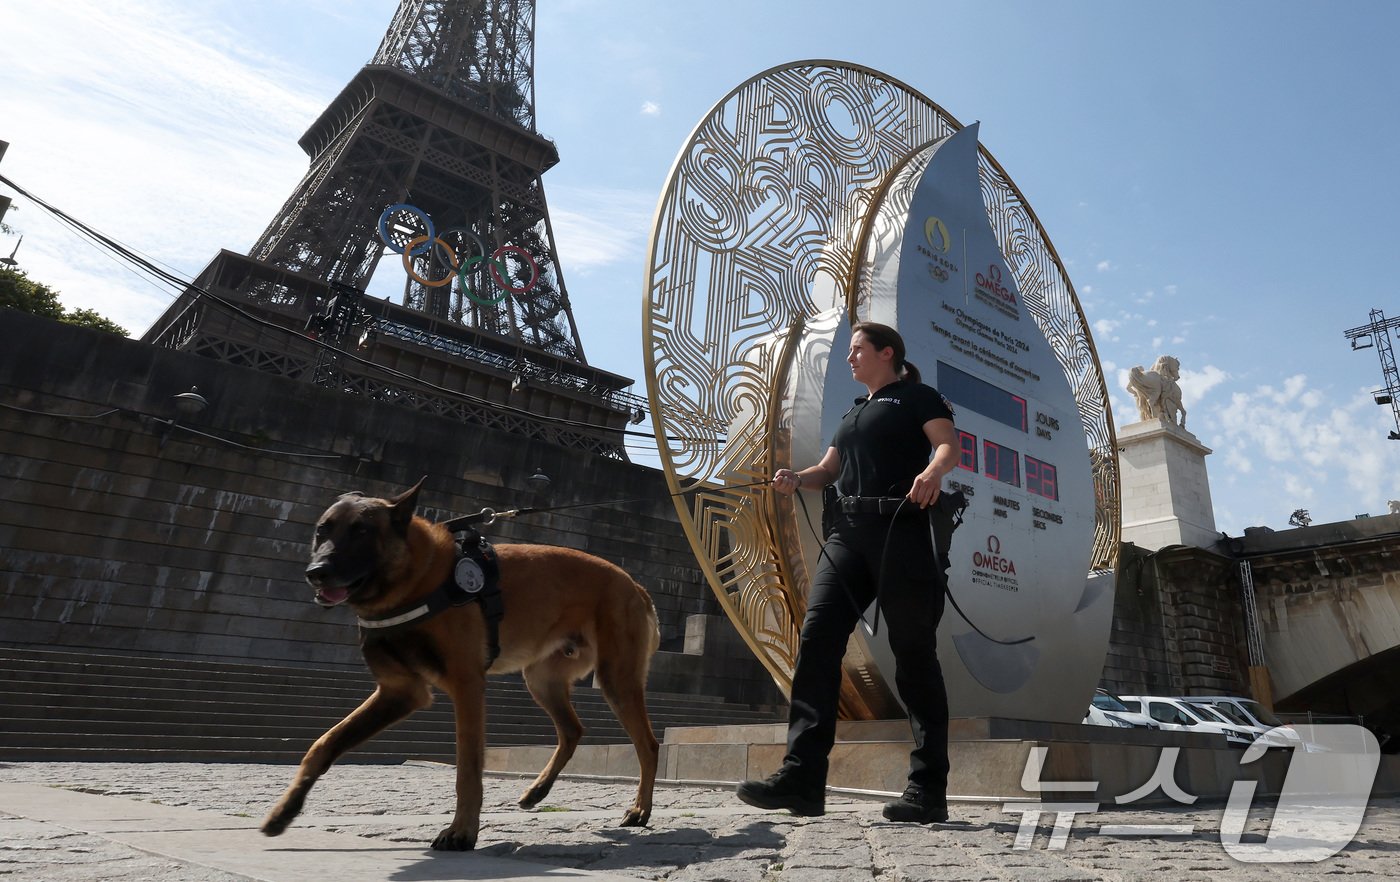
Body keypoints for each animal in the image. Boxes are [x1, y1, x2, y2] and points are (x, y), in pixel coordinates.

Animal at [261, 481, 660, 851]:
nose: (317, 571)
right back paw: (537, 791)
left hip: (616, 680)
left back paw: (640, 810)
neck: (414, 579)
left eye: (362, 531)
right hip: (541, 680)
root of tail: (634, 585)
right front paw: (284, 811)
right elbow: (325, 743)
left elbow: (467, 769)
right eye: (322, 530)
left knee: (648, 744)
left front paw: (461, 832)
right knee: (573, 730)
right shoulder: (400, 692)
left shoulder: (466, 686)